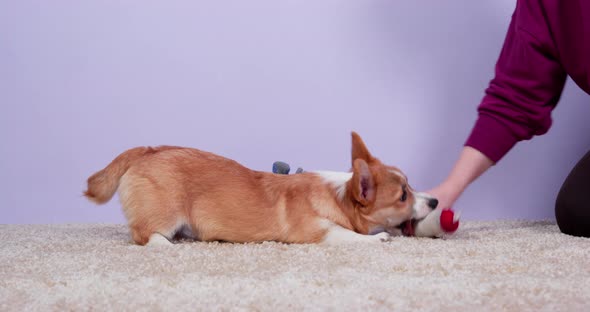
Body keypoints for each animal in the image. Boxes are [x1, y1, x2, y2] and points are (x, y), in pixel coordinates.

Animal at [86, 132, 440, 246]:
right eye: (403, 196)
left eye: (411, 185)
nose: (436, 201)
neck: (338, 197)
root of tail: (147, 151)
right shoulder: (318, 232)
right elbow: (349, 235)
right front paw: (377, 238)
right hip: (166, 213)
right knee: (144, 234)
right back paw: (166, 245)